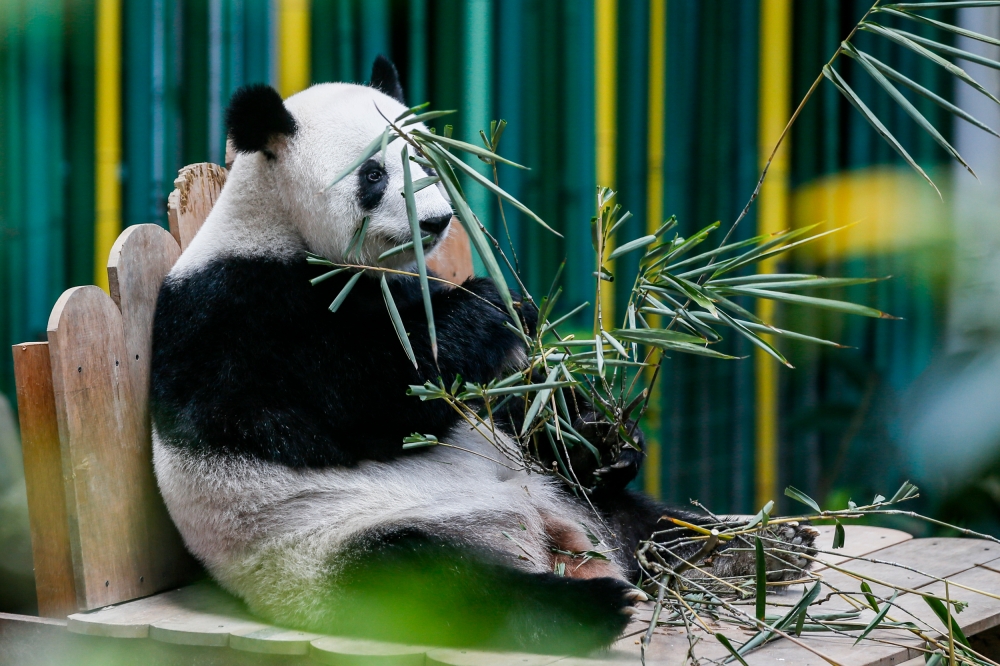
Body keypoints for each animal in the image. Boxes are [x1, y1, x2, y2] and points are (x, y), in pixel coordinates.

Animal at [150, 55, 817, 654]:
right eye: (375, 175)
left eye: (426, 161)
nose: (438, 220)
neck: (276, 224)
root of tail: (549, 542)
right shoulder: (232, 315)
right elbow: (349, 405)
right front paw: (492, 306)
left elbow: (511, 405)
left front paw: (598, 427)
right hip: (332, 546)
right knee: (437, 585)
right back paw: (592, 608)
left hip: (558, 491)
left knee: (644, 520)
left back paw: (753, 549)